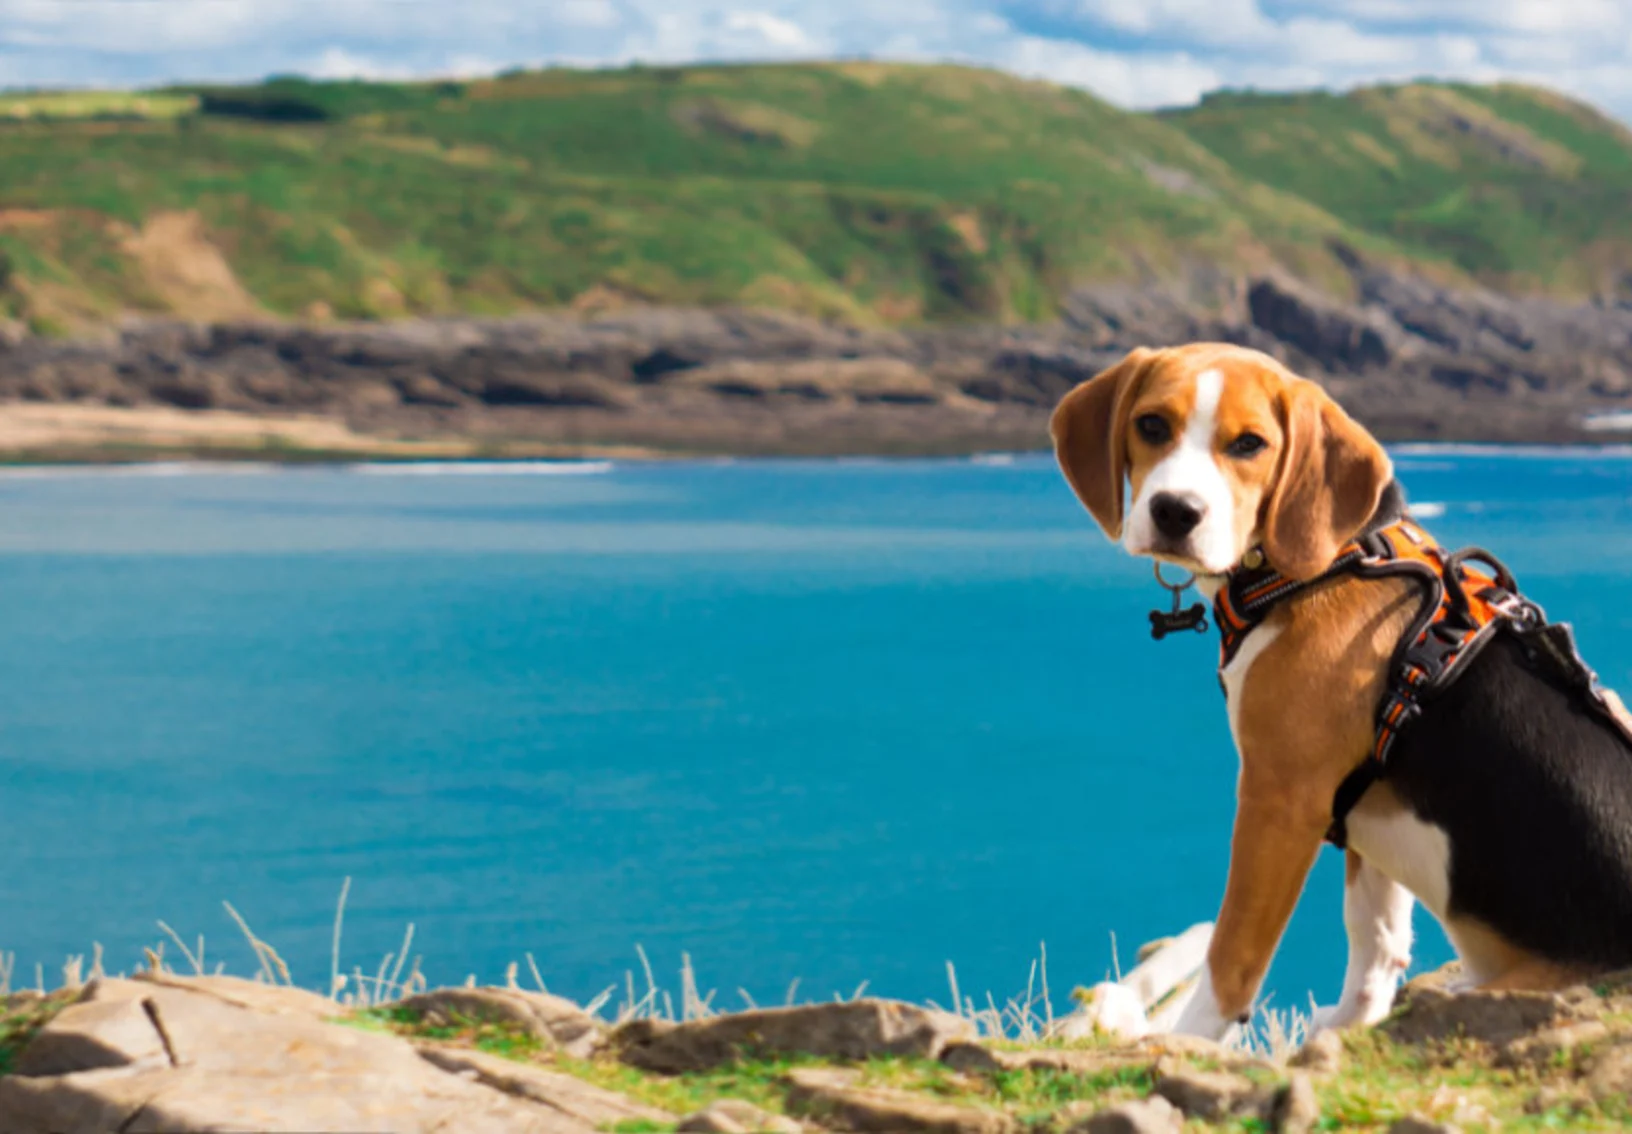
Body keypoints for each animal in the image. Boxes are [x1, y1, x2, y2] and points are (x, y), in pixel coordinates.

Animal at [1051, 344, 1632, 1037]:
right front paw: (1349, 1025)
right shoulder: (1366, 806)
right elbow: (1375, 936)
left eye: (1249, 444)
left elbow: (1233, 954)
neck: (1329, 562)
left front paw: (1190, 1039)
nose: (1175, 511)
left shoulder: (1279, 802)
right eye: (1151, 425)